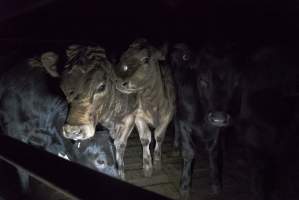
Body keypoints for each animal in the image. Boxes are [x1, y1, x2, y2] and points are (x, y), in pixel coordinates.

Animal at [171, 43, 241, 198]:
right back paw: (176, 144)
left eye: (235, 83)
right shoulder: (184, 122)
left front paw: (216, 184)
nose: (219, 117)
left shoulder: (216, 127)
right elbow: (189, 152)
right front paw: (185, 186)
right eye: (203, 80)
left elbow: (214, 152)